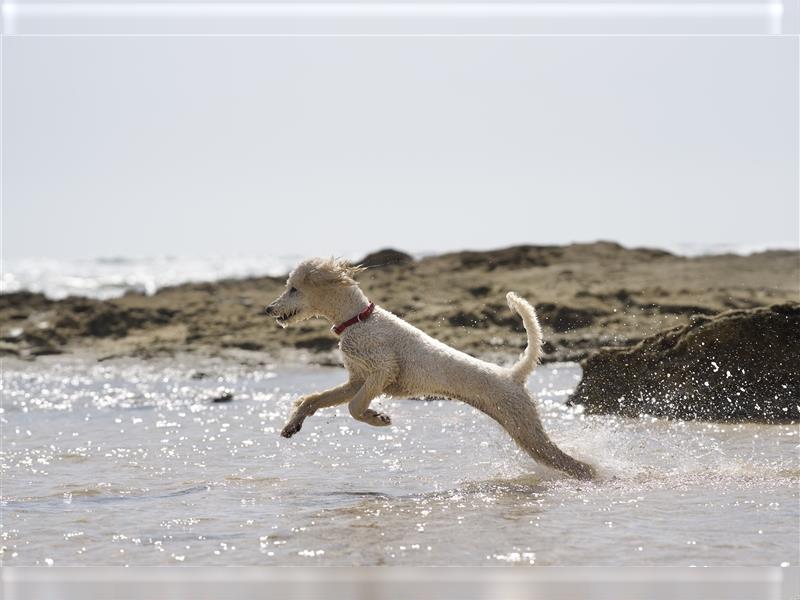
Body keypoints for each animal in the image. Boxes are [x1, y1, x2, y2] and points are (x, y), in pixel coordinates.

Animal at [266, 255, 596, 480]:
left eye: (293, 289)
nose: (269, 309)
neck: (359, 319)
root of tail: (513, 375)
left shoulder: (382, 370)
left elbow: (354, 408)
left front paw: (378, 418)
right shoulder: (357, 379)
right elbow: (314, 399)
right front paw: (293, 424)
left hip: (525, 428)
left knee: (575, 465)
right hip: (522, 427)